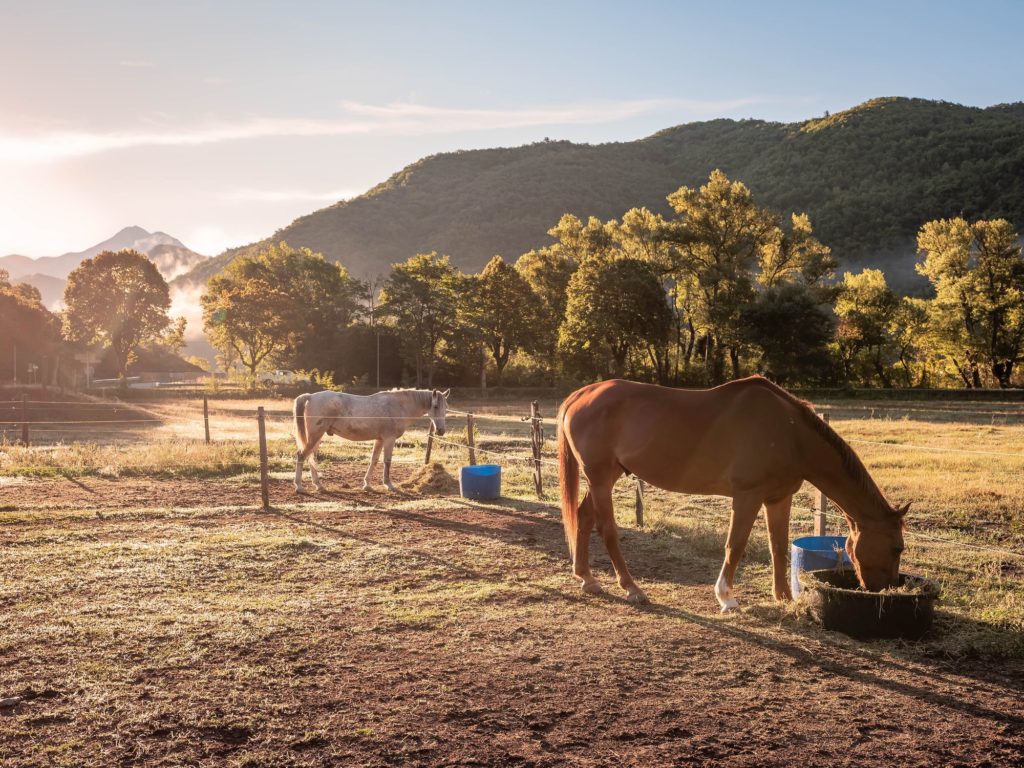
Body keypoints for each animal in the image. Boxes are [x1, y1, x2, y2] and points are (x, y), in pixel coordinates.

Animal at [290, 391, 446, 493]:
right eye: (435, 406)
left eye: (446, 408)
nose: (441, 431)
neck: (397, 406)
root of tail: (310, 396)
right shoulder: (389, 439)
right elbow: (387, 461)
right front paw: (389, 485)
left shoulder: (379, 440)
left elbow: (374, 460)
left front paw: (367, 485)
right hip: (315, 435)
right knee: (301, 455)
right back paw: (299, 486)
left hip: (316, 437)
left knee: (311, 458)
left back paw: (319, 485)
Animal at [557, 376, 909, 610]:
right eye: (897, 548)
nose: (883, 590)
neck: (791, 433)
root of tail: (580, 395)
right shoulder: (747, 497)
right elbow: (735, 545)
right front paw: (726, 597)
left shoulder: (778, 498)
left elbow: (778, 545)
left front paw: (783, 597)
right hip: (600, 478)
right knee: (607, 529)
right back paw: (632, 588)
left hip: (606, 477)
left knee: (583, 517)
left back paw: (588, 579)